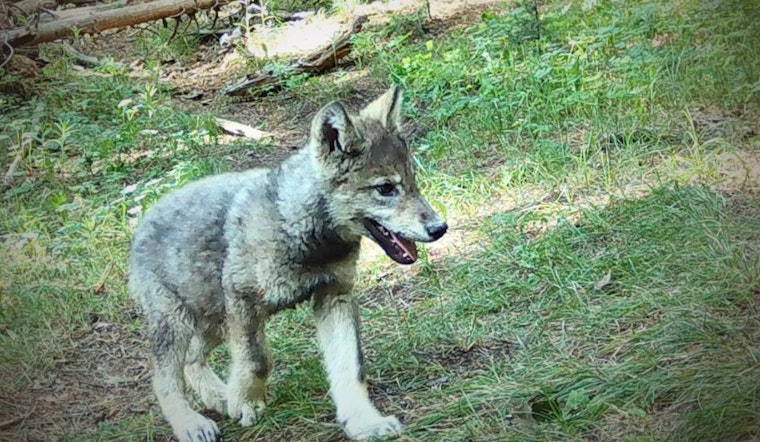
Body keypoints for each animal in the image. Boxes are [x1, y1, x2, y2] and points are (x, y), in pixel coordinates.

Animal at [127, 86, 448, 442]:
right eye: (386, 188)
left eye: (413, 182)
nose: (440, 228)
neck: (299, 230)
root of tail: (145, 216)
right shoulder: (244, 300)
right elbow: (258, 360)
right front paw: (244, 401)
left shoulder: (335, 296)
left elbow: (351, 367)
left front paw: (364, 422)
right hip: (179, 321)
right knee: (163, 378)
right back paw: (191, 423)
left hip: (213, 319)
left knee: (192, 361)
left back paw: (219, 397)